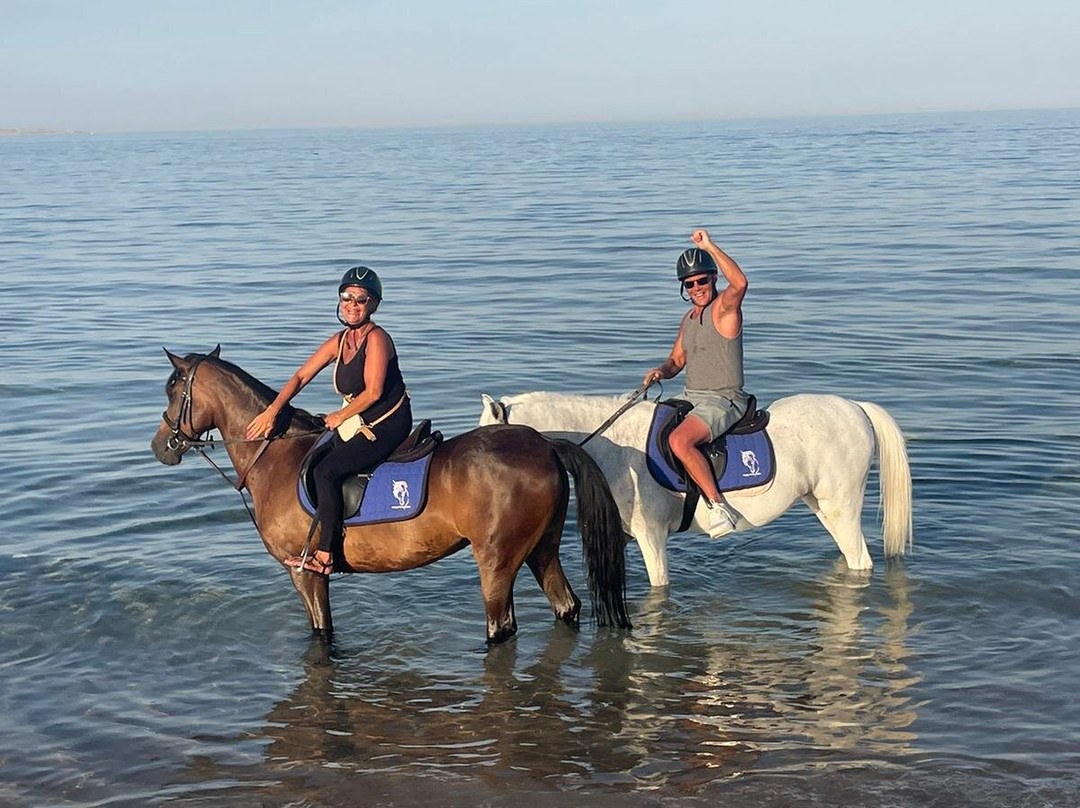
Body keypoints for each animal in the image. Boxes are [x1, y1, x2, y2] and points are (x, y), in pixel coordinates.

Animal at [149, 347, 632, 643]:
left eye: (173, 388)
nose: (160, 446)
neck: (276, 457)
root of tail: (546, 444)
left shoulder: (305, 572)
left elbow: (321, 634)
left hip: (498, 560)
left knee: (502, 628)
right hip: (540, 549)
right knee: (566, 606)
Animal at [479, 391, 912, 588]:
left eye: (489, 440)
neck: (614, 445)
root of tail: (856, 407)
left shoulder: (652, 537)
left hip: (841, 506)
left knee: (860, 560)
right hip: (822, 506)